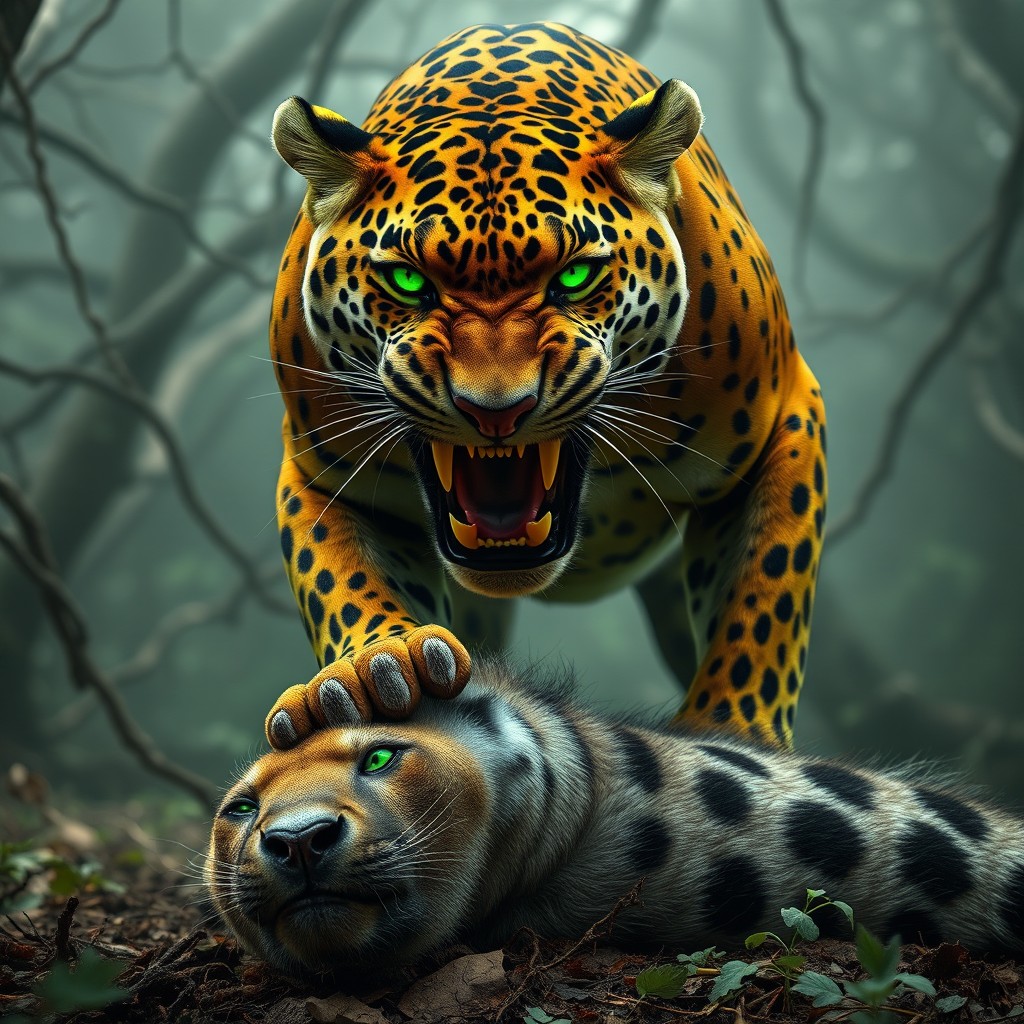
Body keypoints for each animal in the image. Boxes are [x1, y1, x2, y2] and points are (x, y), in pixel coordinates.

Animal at [264, 22, 827, 753]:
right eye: (409, 282)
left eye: (576, 277)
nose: (496, 412)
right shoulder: (324, 470)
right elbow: (338, 576)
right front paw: (377, 669)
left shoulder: (786, 413)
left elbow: (765, 592)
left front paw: (734, 727)